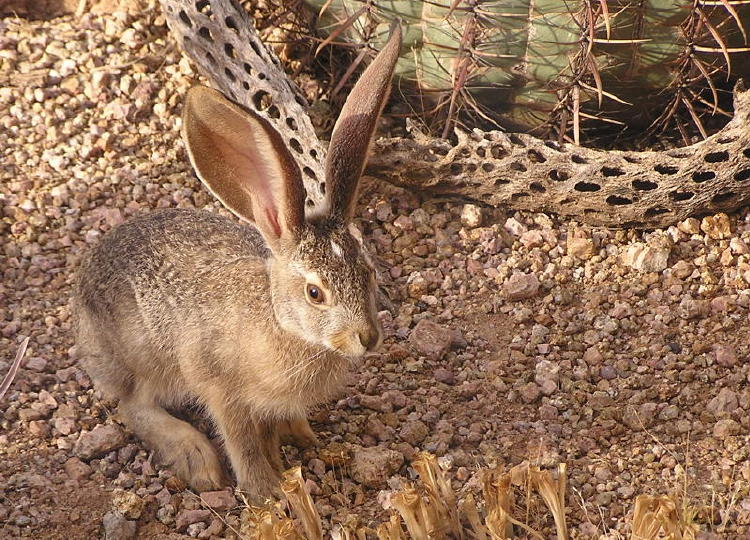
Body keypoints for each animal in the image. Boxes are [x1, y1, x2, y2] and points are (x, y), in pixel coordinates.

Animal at [74, 24, 401, 500]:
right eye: (315, 292)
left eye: (369, 273)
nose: (367, 338)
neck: (285, 326)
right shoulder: (222, 392)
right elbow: (242, 443)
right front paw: (268, 491)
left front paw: (304, 439)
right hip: (143, 360)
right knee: (133, 407)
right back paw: (197, 460)